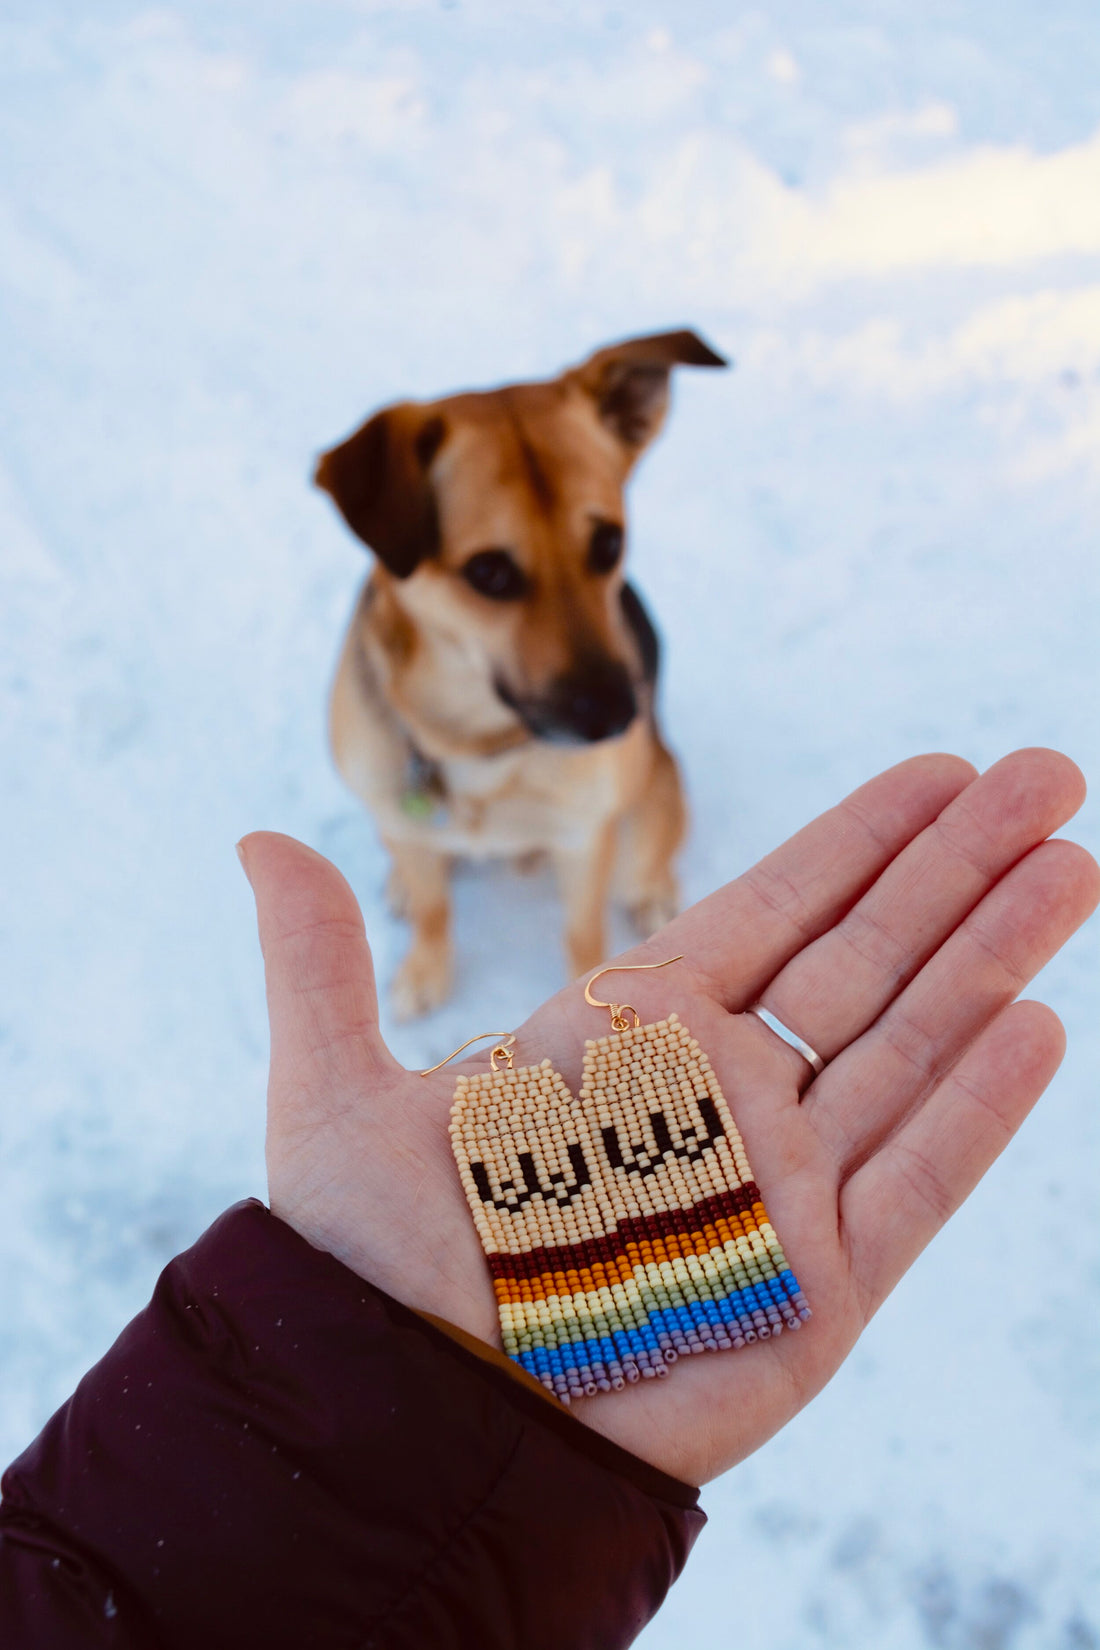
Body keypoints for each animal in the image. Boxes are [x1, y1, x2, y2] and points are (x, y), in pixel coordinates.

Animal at [316, 328, 732, 1009]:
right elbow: (433, 907)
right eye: (489, 571)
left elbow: (582, 934)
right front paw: (425, 969)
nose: (621, 714)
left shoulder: (584, 840)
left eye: (608, 543)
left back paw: (654, 891)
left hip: (651, 796)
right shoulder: (398, 809)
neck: (475, 743)